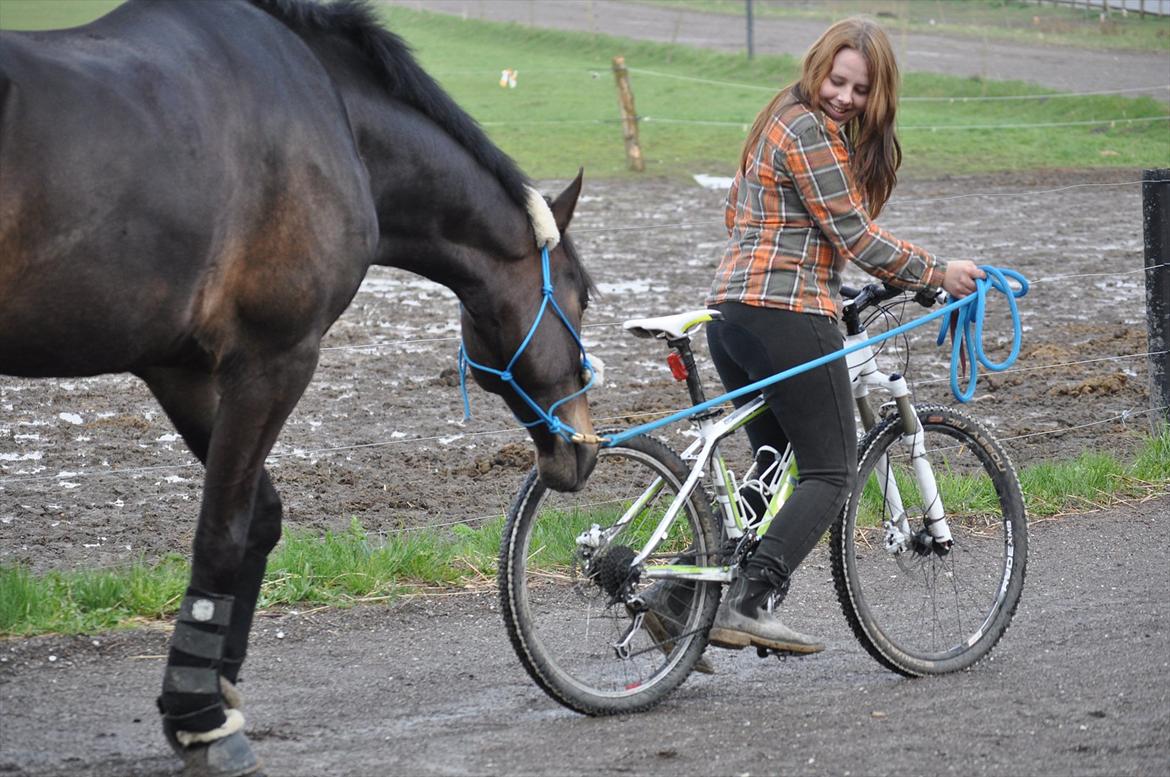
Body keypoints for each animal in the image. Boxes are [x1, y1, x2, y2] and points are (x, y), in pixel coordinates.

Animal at [0, 1, 599, 772]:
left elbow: (258, 516)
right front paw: (204, 718)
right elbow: (222, 531)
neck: (330, 116)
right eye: (582, 297)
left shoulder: (182, 369)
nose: (583, 449)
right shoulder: (275, 358)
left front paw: (209, 687)